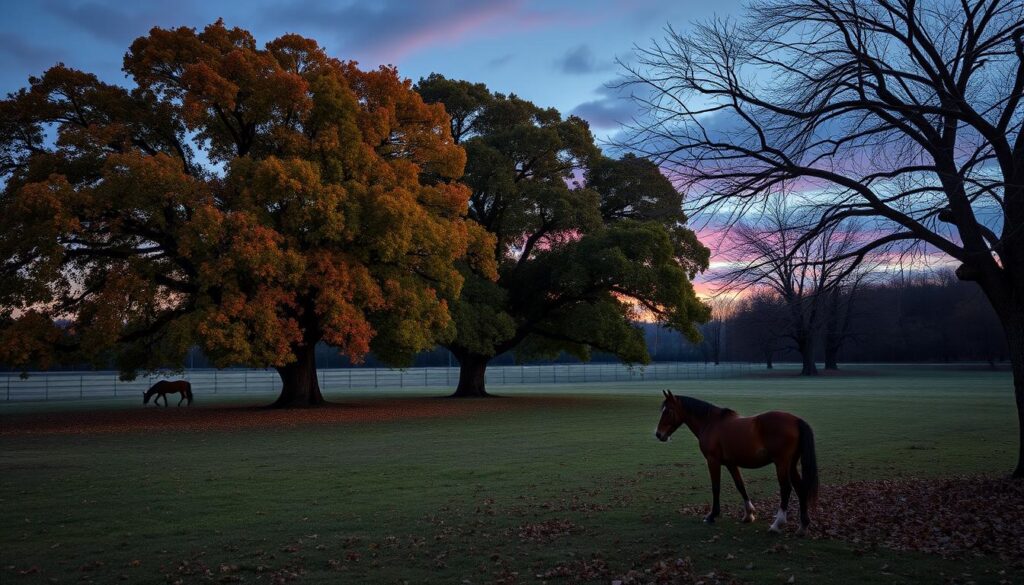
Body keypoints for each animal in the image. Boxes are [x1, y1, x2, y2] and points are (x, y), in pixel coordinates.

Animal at [659, 389, 819, 536]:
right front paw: (749, 514)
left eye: (668, 411)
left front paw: (712, 515)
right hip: (791, 465)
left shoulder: (713, 461)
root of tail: (796, 420)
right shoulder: (731, 463)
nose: (658, 434)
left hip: (782, 464)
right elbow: (740, 485)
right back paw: (803, 526)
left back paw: (777, 524)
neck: (710, 423)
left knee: (786, 488)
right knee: (801, 488)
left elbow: (716, 487)